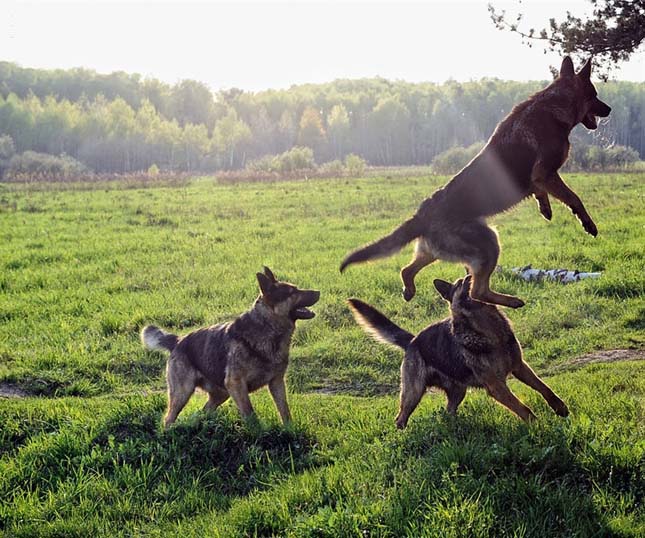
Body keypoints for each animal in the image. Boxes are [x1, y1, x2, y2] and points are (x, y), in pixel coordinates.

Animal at [143, 266, 320, 426]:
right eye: (292, 292)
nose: (318, 292)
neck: (266, 326)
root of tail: (178, 340)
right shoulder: (236, 384)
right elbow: (250, 414)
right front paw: (258, 433)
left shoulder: (276, 383)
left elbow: (285, 411)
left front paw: (289, 431)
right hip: (183, 392)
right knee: (168, 419)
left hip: (221, 394)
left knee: (203, 411)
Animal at [340, 56, 612, 308]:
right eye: (595, 95)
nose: (609, 110)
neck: (554, 104)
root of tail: (422, 215)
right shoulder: (545, 173)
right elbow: (574, 198)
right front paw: (588, 224)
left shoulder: (540, 180)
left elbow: (542, 194)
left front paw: (545, 208)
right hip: (489, 243)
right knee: (477, 291)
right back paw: (512, 301)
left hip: (436, 251)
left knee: (407, 270)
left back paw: (409, 290)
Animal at [348, 274, 568, 426]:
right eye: (462, 282)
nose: (471, 275)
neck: (489, 331)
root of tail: (412, 341)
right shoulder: (497, 387)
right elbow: (522, 408)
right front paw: (539, 427)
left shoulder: (520, 367)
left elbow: (544, 388)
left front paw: (560, 408)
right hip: (413, 393)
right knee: (400, 418)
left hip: (458, 392)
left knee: (449, 411)